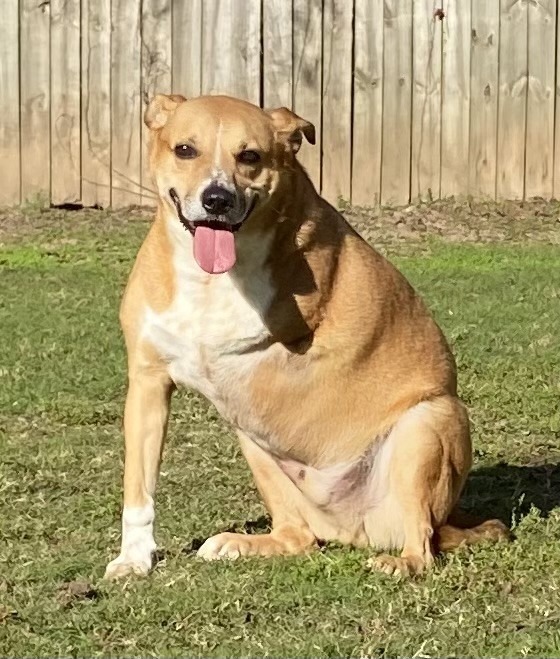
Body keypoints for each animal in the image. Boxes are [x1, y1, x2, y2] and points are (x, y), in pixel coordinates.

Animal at [104, 93, 508, 576]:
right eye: (185, 149)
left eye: (250, 156)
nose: (217, 199)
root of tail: (353, 529)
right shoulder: (148, 383)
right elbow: (139, 487)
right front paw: (133, 558)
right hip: (256, 444)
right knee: (298, 538)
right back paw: (241, 544)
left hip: (428, 423)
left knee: (423, 545)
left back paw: (403, 561)